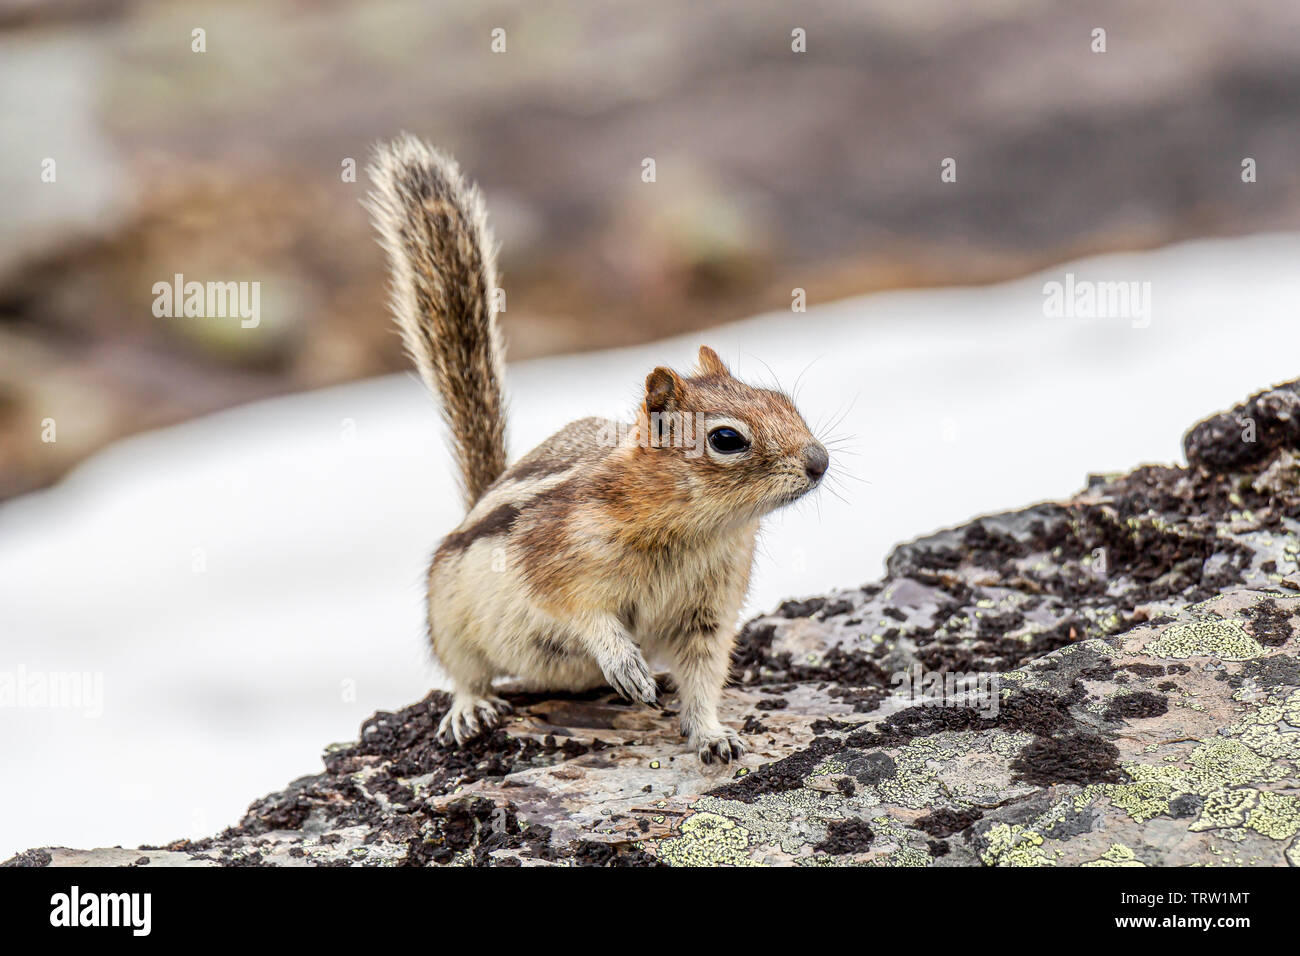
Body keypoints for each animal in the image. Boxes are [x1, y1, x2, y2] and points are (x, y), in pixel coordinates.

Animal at [364, 132, 832, 764]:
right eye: (726, 439)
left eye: (783, 400)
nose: (819, 462)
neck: (695, 531)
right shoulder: (555, 561)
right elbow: (583, 615)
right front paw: (625, 663)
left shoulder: (709, 612)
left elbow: (705, 673)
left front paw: (713, 734)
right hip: (449, 614)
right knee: (465, 672)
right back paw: (470, 708)